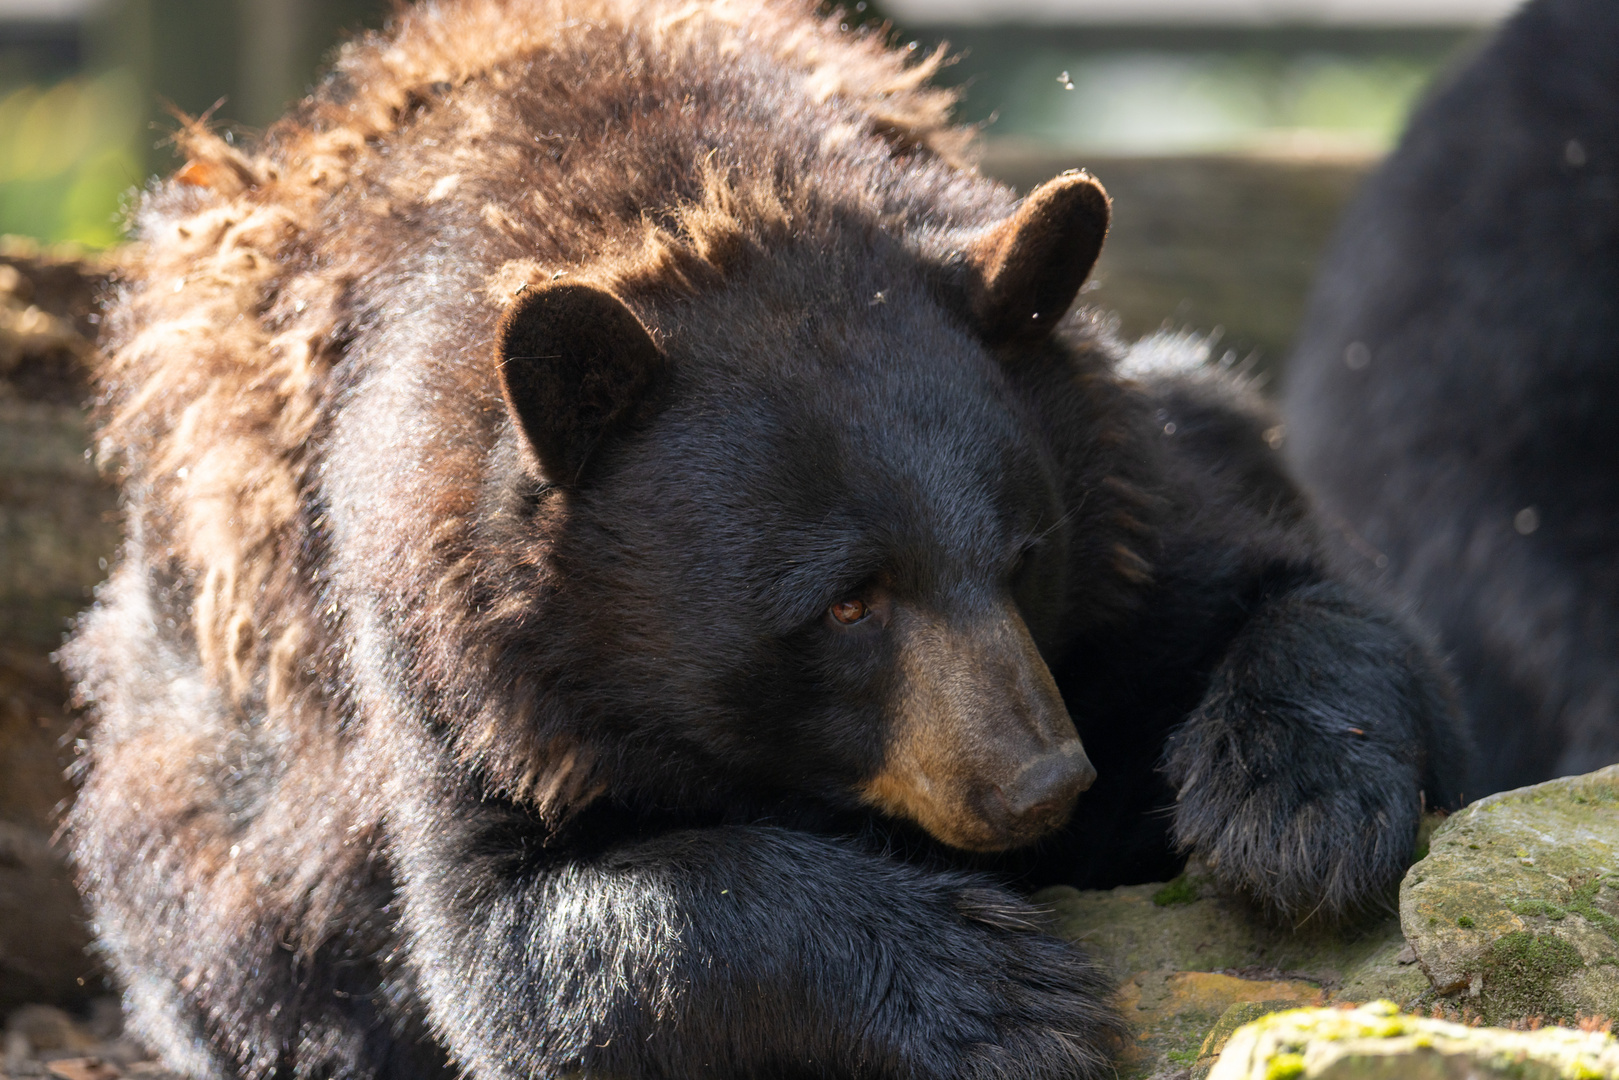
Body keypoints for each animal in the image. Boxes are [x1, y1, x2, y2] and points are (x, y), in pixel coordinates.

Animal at [69, 2, 1476, 1080]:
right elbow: (516, 941)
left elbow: (1297, 594)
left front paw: (1293, 805)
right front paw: (991, 990)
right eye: (845, 603)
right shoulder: (450, 654)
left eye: (1022, 557)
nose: (1040, 781)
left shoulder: (1115, 483)